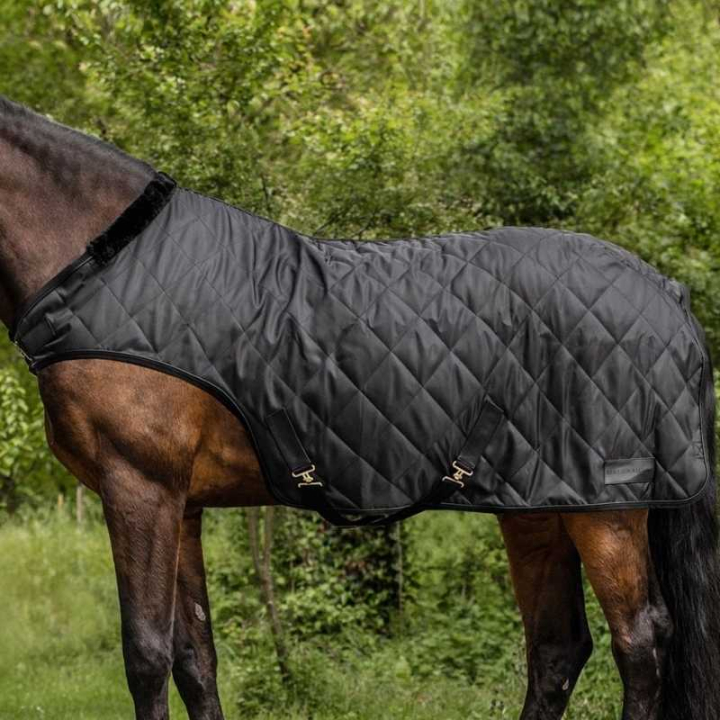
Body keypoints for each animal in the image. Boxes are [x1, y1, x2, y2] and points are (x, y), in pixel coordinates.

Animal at [1, 95, 718, 720]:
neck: (105, 272)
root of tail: (666, 290)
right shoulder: (182, 504)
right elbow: (193, 656)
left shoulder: (139, 487)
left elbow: (146, 656)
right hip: (538, 506)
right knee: (557, 648)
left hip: (607, 511)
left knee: (641, 643)